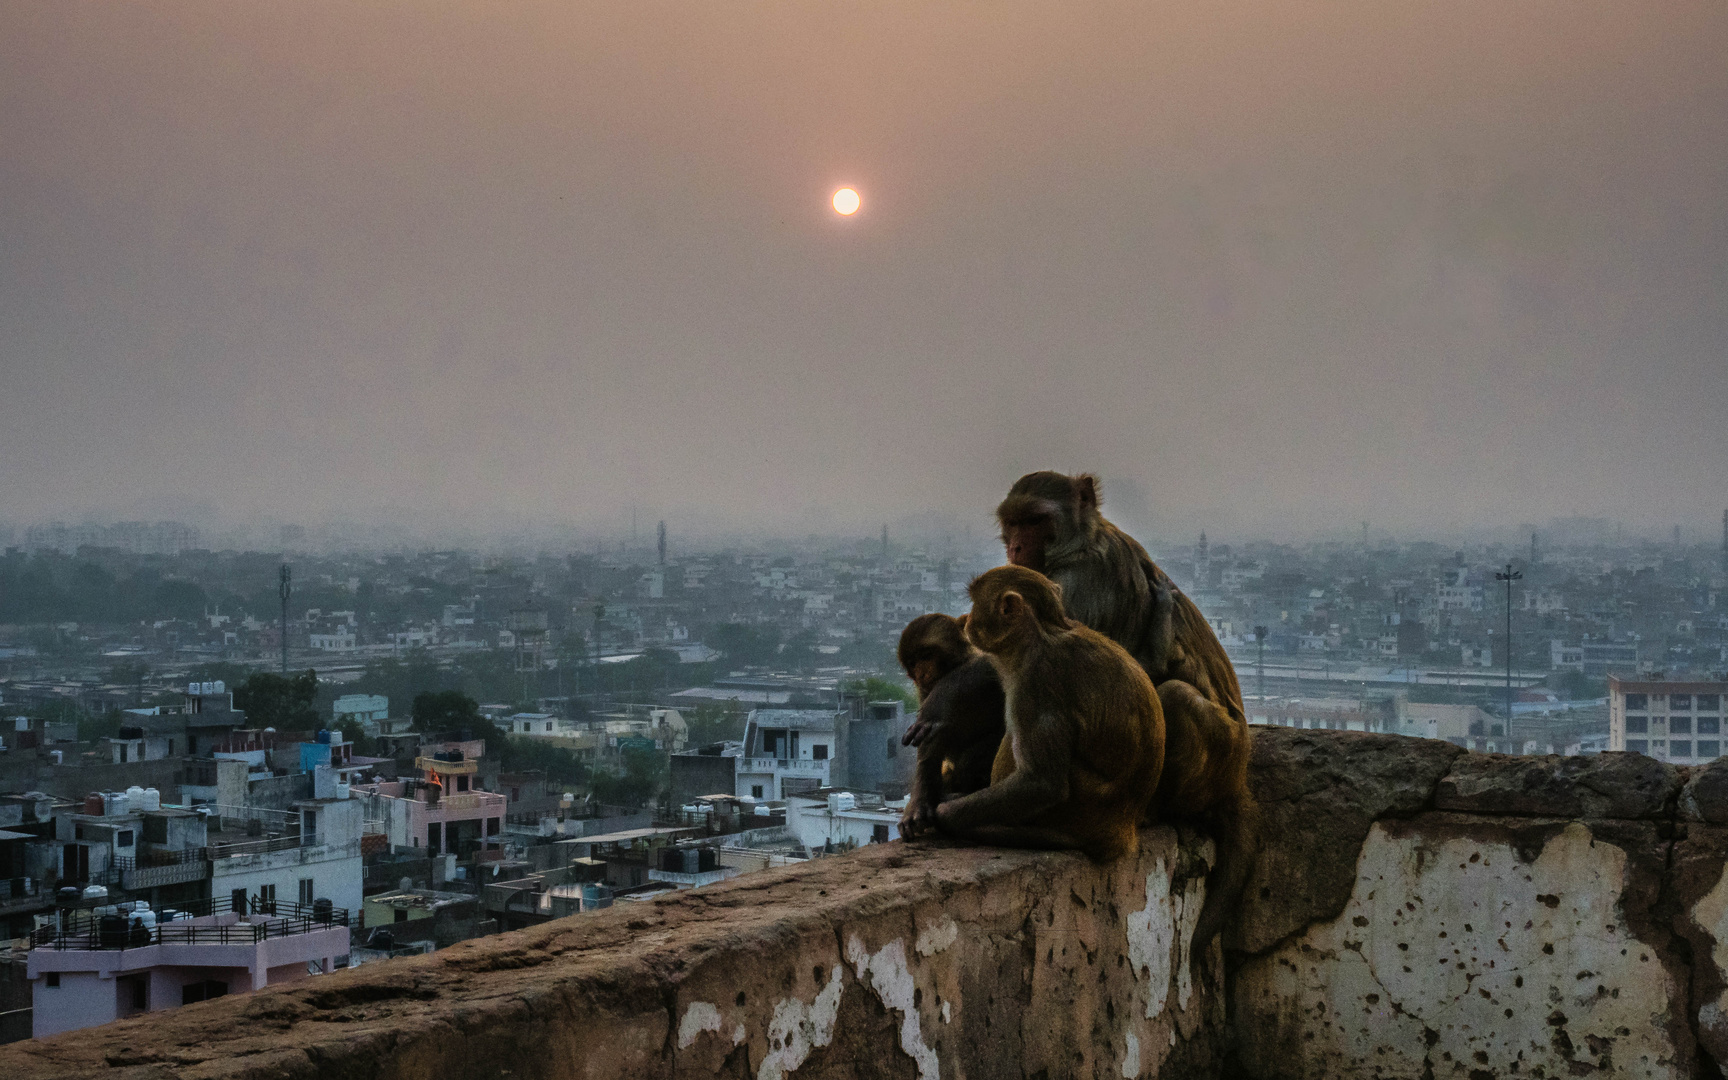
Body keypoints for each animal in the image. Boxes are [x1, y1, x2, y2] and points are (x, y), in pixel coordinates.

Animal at [940, 563, 1168, 860]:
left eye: (976, 602)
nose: (965, 620)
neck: (1039, 634)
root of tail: (1121, 832)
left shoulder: (1038, 680)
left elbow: (1043, 783)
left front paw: (942, 814)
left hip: (1080, 805)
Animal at [1002, 470, 1257, 953]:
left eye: (1036, 520)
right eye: (1013, 522)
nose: (1017, 548)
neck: (1084, 541)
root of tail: (1238, 775)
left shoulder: (1075, 585)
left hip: (1223, 752)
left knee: (1175, 698)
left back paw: (1157, 811)